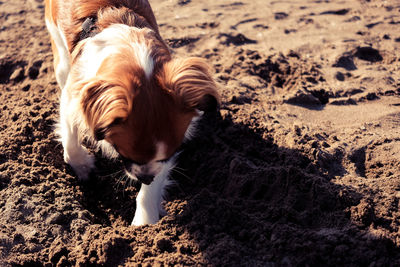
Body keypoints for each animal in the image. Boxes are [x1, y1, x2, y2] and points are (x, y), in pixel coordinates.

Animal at [44, 0, 219, 226]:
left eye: (168, 155)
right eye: (123, 152)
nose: (146, 178)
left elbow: (151, 189)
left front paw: (144, 222)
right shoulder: (74, 94)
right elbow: (70, 138)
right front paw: (82, 167)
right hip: (60, 55)